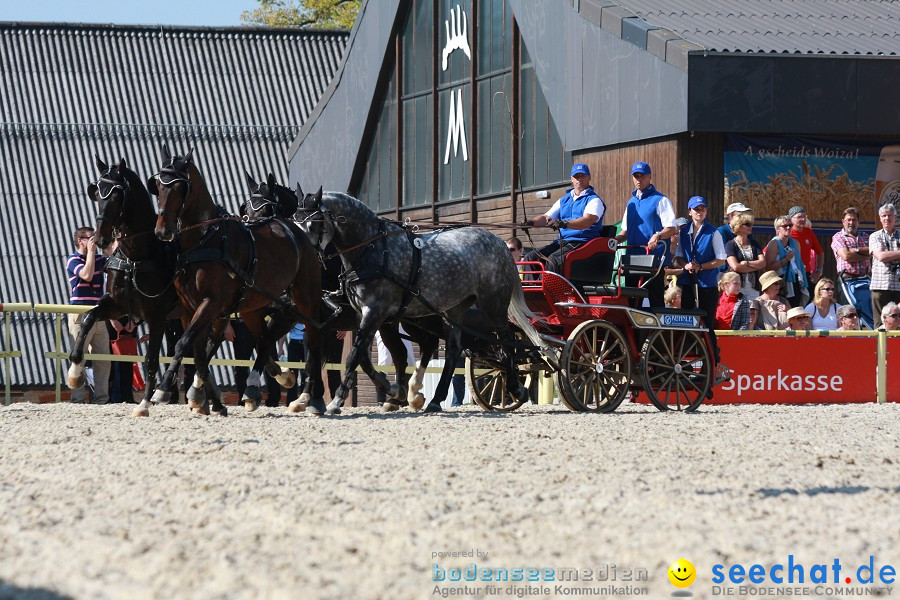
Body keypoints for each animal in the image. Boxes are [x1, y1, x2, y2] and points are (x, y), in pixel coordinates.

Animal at [69, 156, 224, 418]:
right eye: (96, 193)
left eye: (117, 195)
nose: (99, 239)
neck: (137, 256)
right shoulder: (116, 306)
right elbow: (89, 318)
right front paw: (75, 371)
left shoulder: (157, 316)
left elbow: (151, 358)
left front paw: (144, 403)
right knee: (200, 348)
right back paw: (206, 401)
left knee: (206, 345)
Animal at [298, 186, 548, 412]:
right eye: (295, 220)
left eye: (312, 223)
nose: (306, 259)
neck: (373, 248)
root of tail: (498, 243)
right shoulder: (365, 314)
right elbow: (362, 358)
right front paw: (393, 390)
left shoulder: (375, 311)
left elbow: (353, 356)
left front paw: (336, 400)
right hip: (455, 308)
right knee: (453, 349)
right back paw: (434, 399)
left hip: (493, 303)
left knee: (506, 341)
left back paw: (515, 388)